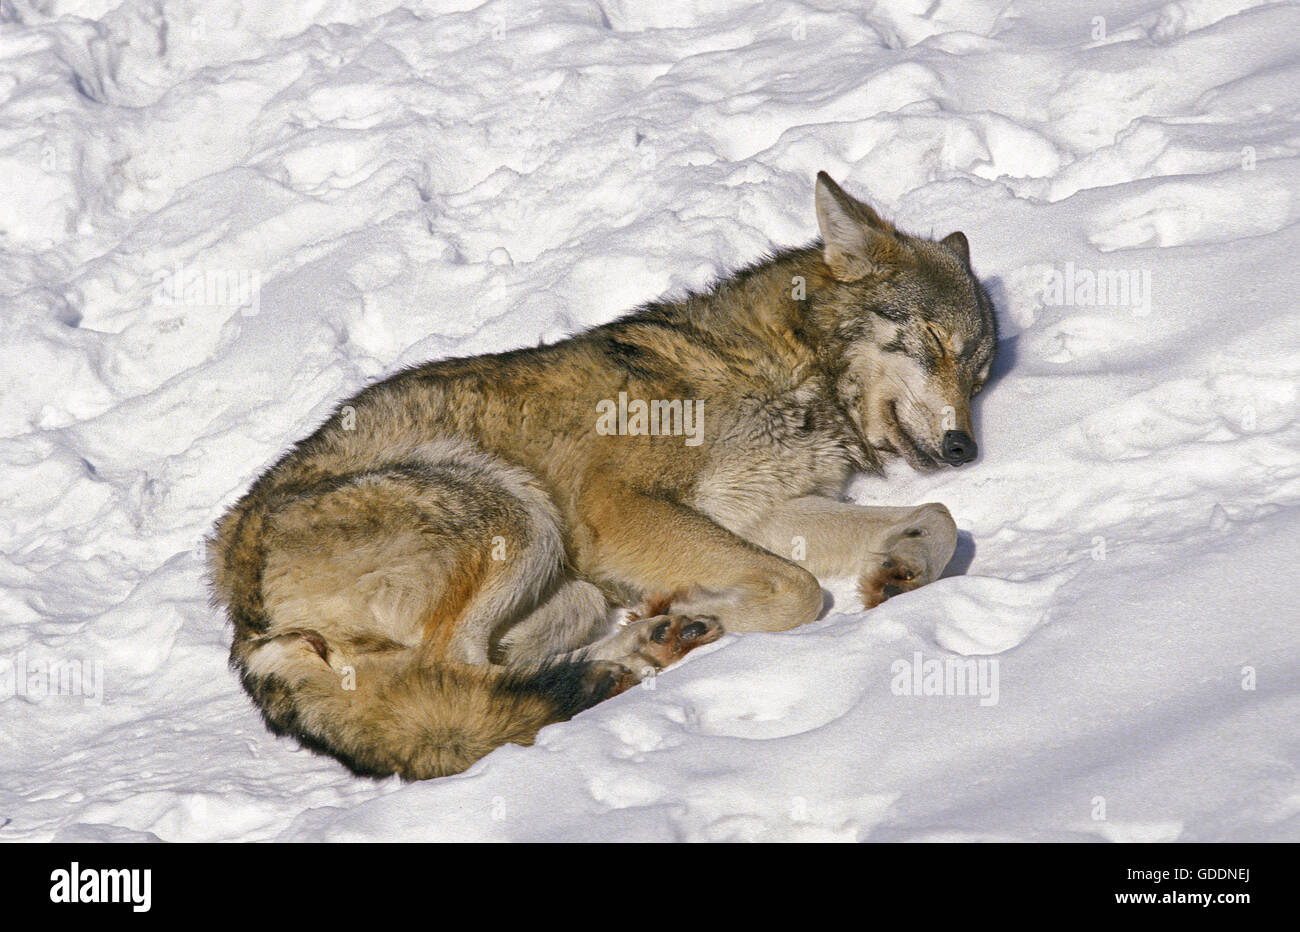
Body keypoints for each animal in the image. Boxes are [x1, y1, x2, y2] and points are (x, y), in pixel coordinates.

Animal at [208, 172, 997, 780]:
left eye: (980, 370)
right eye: (933, 341)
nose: (964, 447)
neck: (789, 371)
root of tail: (239, 608)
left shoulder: (769, 512)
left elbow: (936, 518)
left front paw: (903, 568)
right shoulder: (619, 508)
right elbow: (797, 589)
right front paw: (708, 605)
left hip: (568, 589)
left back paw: (644, 648)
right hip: (520, 516)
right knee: (450, 673)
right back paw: (651, 641)